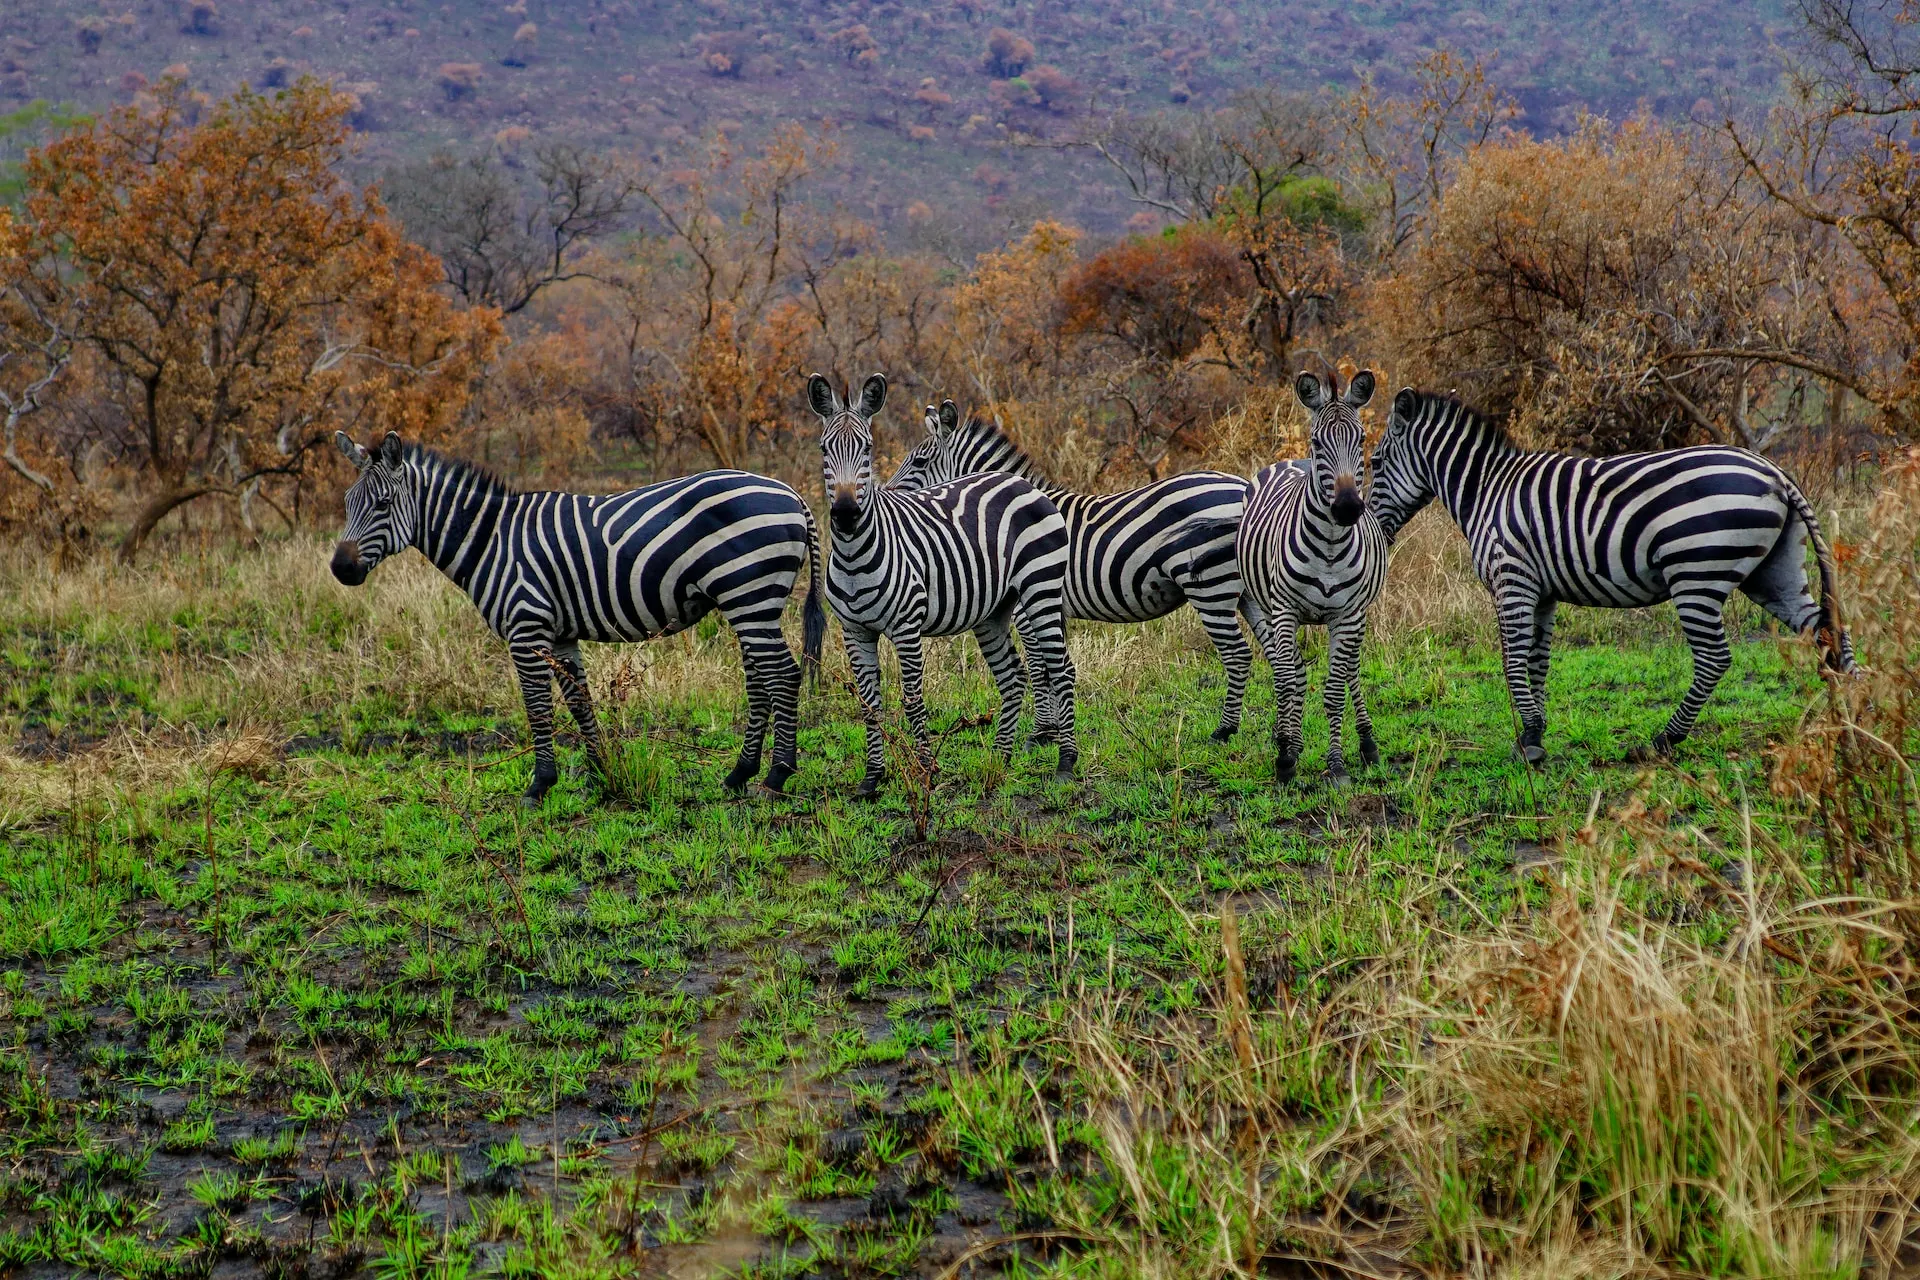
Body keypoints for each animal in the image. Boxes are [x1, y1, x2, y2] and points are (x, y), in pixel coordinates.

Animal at [330, 435, 825, 805]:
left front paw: (539, 785)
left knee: (783, 675)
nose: (340, 569)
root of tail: (791, 493)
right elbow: (578, 700)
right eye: (348, 502)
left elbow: (537, 706)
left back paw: (777, 775)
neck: (491, 541)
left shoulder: (526, 628)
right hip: (746, 603)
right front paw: (599, 773)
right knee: (760, 680)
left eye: (383, 504)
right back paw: (740, 773)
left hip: (750, 595)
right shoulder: (561, 633)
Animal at [810, 370, 1082, 794]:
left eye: (868, 449)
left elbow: (912, 702)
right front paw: (872, 779)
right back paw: (999, 759)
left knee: (1060, 668)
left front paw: (925, 770)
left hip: (1039, 594)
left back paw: (1066, 763)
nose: (846, 513)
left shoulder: (906, 627)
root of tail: (1018, 481)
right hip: (993, 612)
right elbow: (869, 705)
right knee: (1013, 677)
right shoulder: (854, 631)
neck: (856, 555)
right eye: (825, 449)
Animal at [887, 397, 1274, 740]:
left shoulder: (1028, 606)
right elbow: (1055, 664)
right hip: (1244, 591)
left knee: (1238, 655)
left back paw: (1224, 731)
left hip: (1210, 587)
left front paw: (1041, 733)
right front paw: (1056, 730)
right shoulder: (1049, 605)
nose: (884, 496)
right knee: (1273, 649)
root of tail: (1243, 485)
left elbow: (1040, 667)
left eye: (919, 462)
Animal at [1236, 370, 1390, 786]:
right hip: (1266, 605)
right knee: (1291, 670)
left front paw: (1336, 766)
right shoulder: (1284, 610)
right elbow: (1287, 680)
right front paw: (1286, 757)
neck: (1331, 546)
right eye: (1319, 441)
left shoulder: (1348, 615)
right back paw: (1288, 738)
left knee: (1350, 671)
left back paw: (1367, 744)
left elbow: (1335, 689)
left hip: (1359, 615)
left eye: (1362, 439)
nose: (1348, 507)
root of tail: (1292, 460)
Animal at [1374, 385, 1850, 767]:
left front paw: (1528, 742)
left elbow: (1512, 662)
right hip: (1772, 572)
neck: (1488, 491)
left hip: (1696, 574)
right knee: (1826, 631)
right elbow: (1538, 662)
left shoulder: (1513, 580)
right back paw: (1854, 726)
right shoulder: (1541, 592)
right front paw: (1535, 733)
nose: (1374, 527)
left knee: (1714, 658)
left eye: (1375, 462)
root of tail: (1775, 472)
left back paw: (1662, 742)